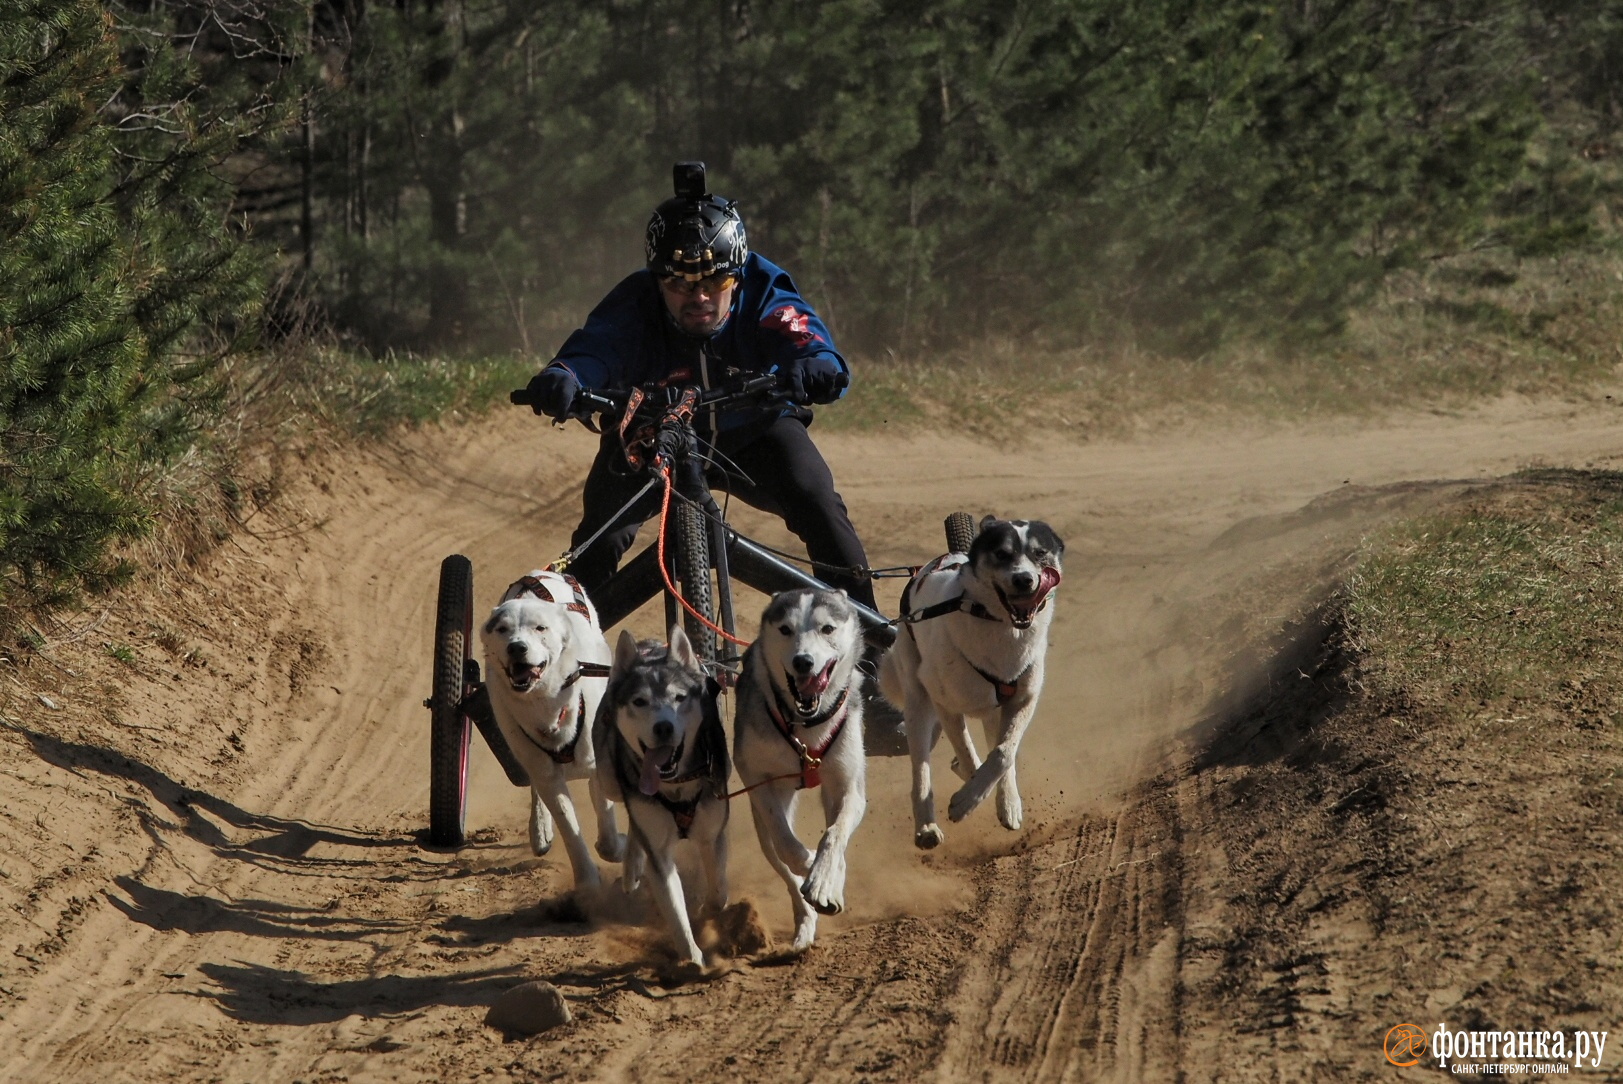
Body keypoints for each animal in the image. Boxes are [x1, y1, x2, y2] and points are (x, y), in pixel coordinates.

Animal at [477, 571, 623, 882]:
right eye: (502, 629)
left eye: (540, 628)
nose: (517, 647)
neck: (547, 702)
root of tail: (539, 574)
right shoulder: (544, 771)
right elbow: (568, 826)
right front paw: (588, 880)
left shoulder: (597, 762)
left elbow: (606, 825)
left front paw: (616, 848)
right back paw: (540, 829)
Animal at [590, 623, 730, 967]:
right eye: (640, 701)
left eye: (679, 697)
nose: (663, 727)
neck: (675, 785)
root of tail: (650, 645)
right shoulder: (659, 852)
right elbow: (674, 910)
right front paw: (692, 959)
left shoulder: (712, 833)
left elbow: (719, 892)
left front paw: (706, 910)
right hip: (611, 775)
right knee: (604, 787)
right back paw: (629, 868)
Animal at [733, 587, 869, 954]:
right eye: (785, 629)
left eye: (827, 629)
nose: (803, 661)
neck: (807, 726)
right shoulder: (756, 778)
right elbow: (787, 844)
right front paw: (810, 866)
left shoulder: (848, 785)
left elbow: (834, 835)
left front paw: (824, 880)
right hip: (763, 817)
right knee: (782, 863)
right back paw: (805, 921)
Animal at [876, 519, 1064, 850]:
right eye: (1002, 554)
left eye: (1041, 553)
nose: (1024, 580)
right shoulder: (945, 705)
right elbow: (967, 753)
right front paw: (966, 800)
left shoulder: (1022, 700)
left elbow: (1003, 754)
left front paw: (1003, 800)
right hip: (918, 703)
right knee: (921, 769)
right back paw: (926, 827)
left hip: (989, 711)